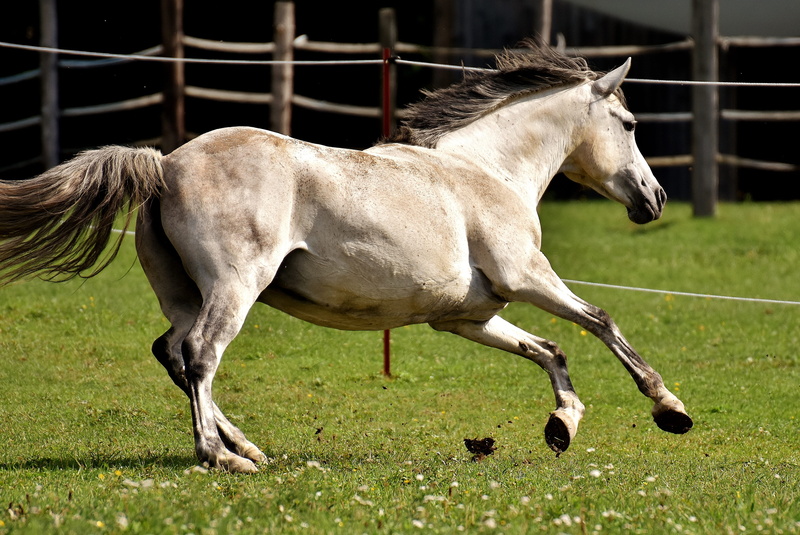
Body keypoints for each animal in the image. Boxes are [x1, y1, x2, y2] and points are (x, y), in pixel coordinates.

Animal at [0, 43, 692, 473]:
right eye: (630, 123)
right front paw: (668, 409)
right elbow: (600, 321)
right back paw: (221, 457)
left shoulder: (466, 317)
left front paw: (562, 424)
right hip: (235, 286)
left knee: (172, 353)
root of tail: (164, 165)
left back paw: (248, 446)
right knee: (199, 354)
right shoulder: (528, 277)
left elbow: (549, 349)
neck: (485, 172)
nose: (654, 199)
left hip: (183, 294)